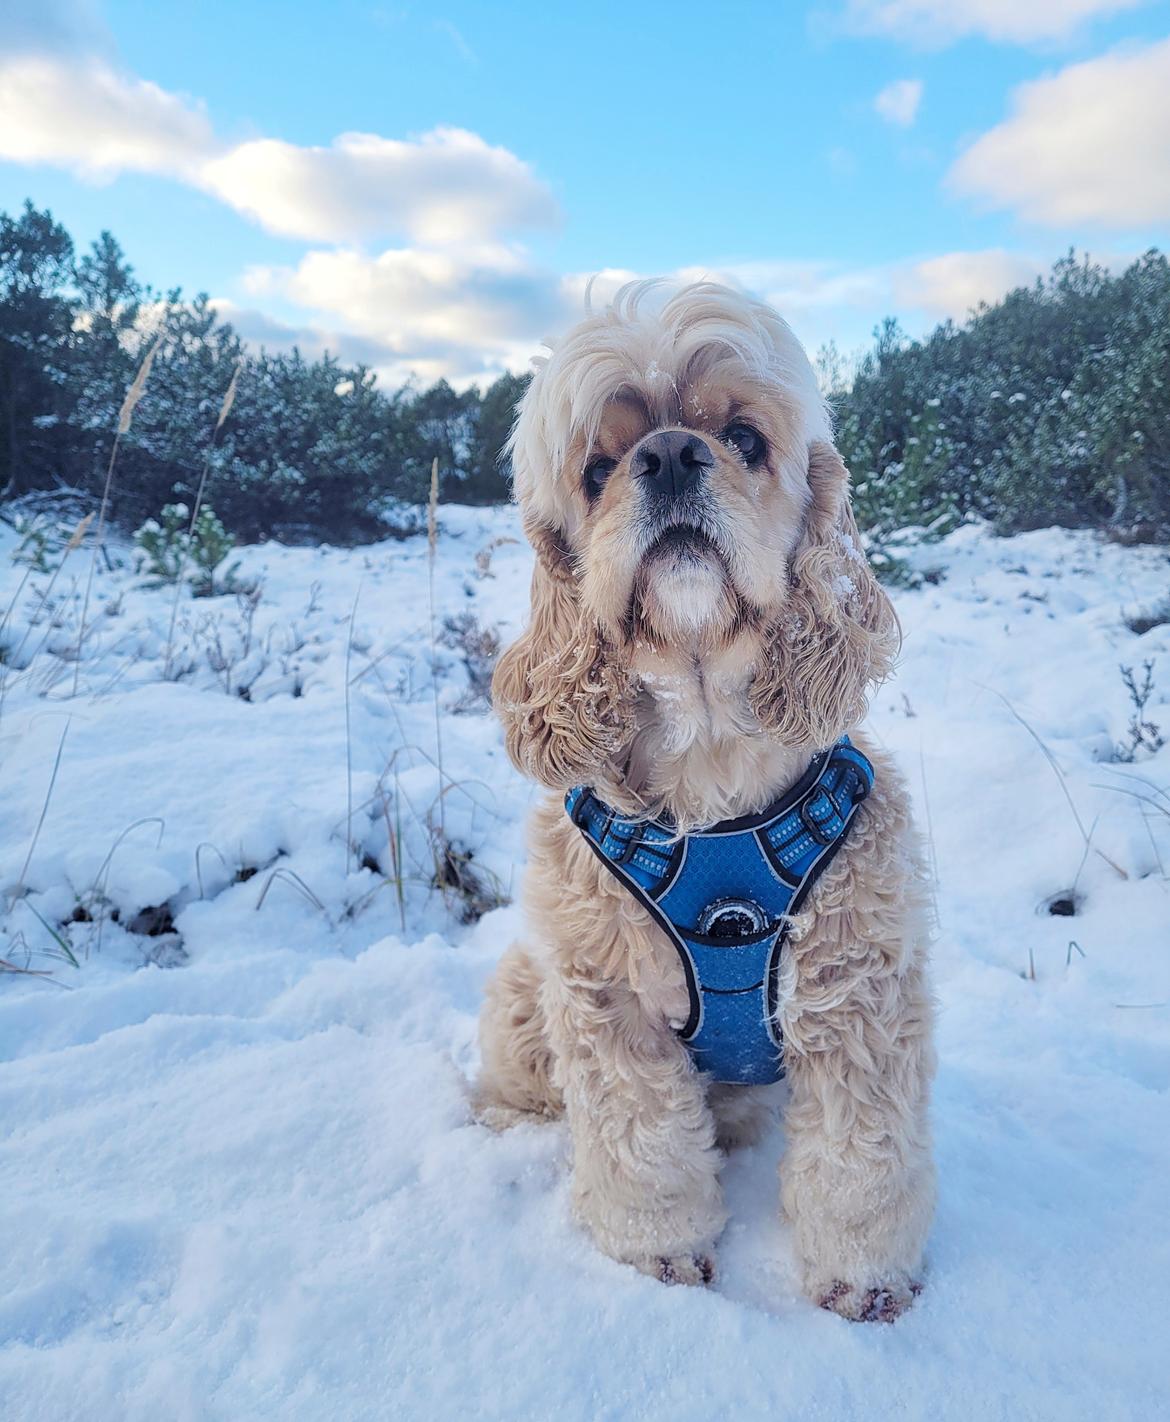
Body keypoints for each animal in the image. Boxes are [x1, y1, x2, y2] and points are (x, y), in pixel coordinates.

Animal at [471, 280, 938, 1319]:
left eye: (744, 439)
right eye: (598, 468)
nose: (672, 455)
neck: (711, 766)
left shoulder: (858, 991)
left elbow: (861, 1158)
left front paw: (863, 1280)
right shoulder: (605, 1000)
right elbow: (643, 1146)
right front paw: (659, 1259)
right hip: (525, 992)